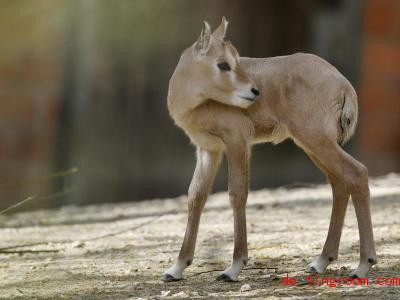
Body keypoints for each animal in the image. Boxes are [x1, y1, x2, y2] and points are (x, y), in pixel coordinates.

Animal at [162, 18, 376, 282]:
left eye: (235, 60)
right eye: (223, 63)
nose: (254, 91)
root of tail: (344, 85)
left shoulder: (237, 140)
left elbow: (237, 194)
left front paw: (234, 267)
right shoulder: (208, 149)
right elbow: (196, 196)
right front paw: (177, 267)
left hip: (315, 140)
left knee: (357, 173)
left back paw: (363, 265)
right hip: (313, 144)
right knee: (339, 184)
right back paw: (320, 262)